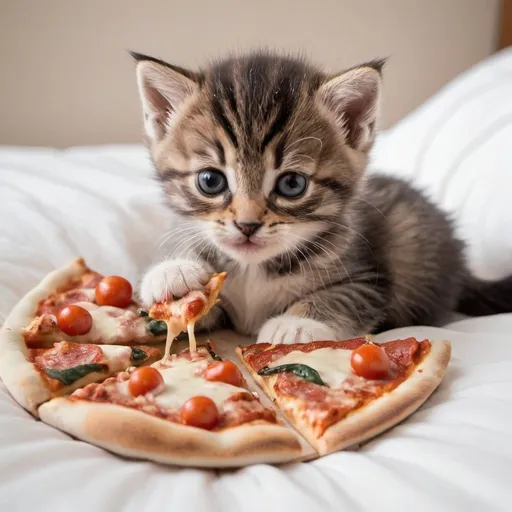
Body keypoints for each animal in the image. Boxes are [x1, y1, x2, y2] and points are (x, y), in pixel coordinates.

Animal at [131, 51, 512, 344]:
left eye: (292, 184)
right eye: (210, 181)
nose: (247, 225)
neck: (254, 269)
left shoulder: (369, 278)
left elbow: (345, 296)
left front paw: (296, 323)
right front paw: (172, 271)